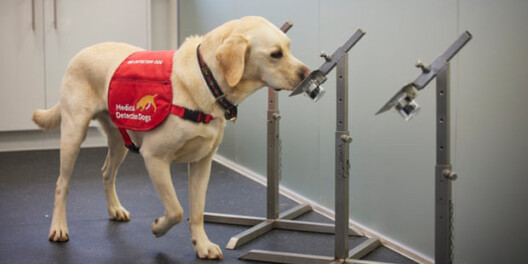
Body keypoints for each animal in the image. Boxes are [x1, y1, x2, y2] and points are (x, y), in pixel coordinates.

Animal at [32, 16, 310, 260]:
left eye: (289, 47)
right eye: (276, 54)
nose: (307, 74)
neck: (207, 80)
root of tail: (82, 51)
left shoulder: (202, 163)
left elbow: (196, 212)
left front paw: (202, 245)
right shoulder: (155, 158)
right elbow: (176, 210)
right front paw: (157, 227)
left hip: (120, 140)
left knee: (106, 173)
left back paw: (115, 209)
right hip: (73, 133)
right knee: (62, 184)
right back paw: (58, 227)